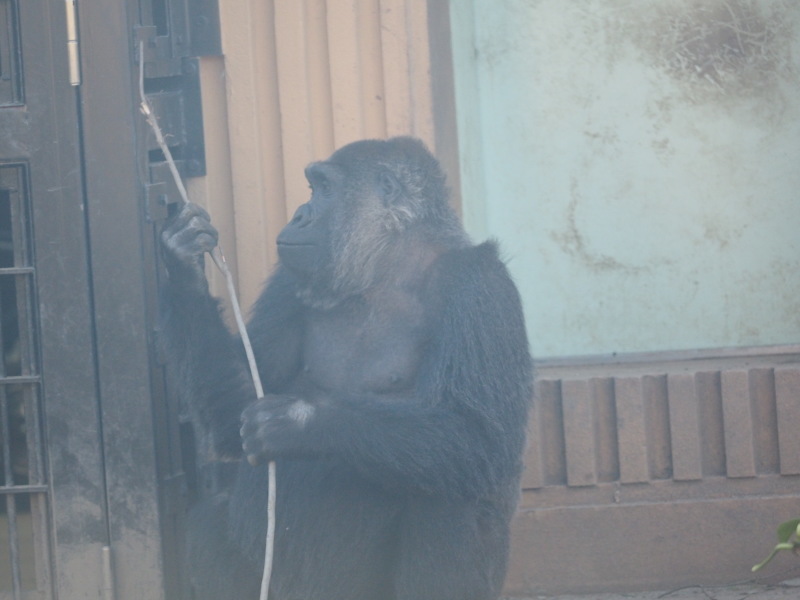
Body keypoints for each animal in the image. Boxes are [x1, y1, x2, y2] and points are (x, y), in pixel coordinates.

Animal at [158, 136, 532, 600]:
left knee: (450, 496)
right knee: (208, 523)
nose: (300, 214)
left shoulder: (480, 285)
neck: (387, 269)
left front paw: (297, 424)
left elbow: (479, 436)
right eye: (311, 188)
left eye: (323, 188)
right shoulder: (289, 280)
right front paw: (183, 263)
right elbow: (237, 408)